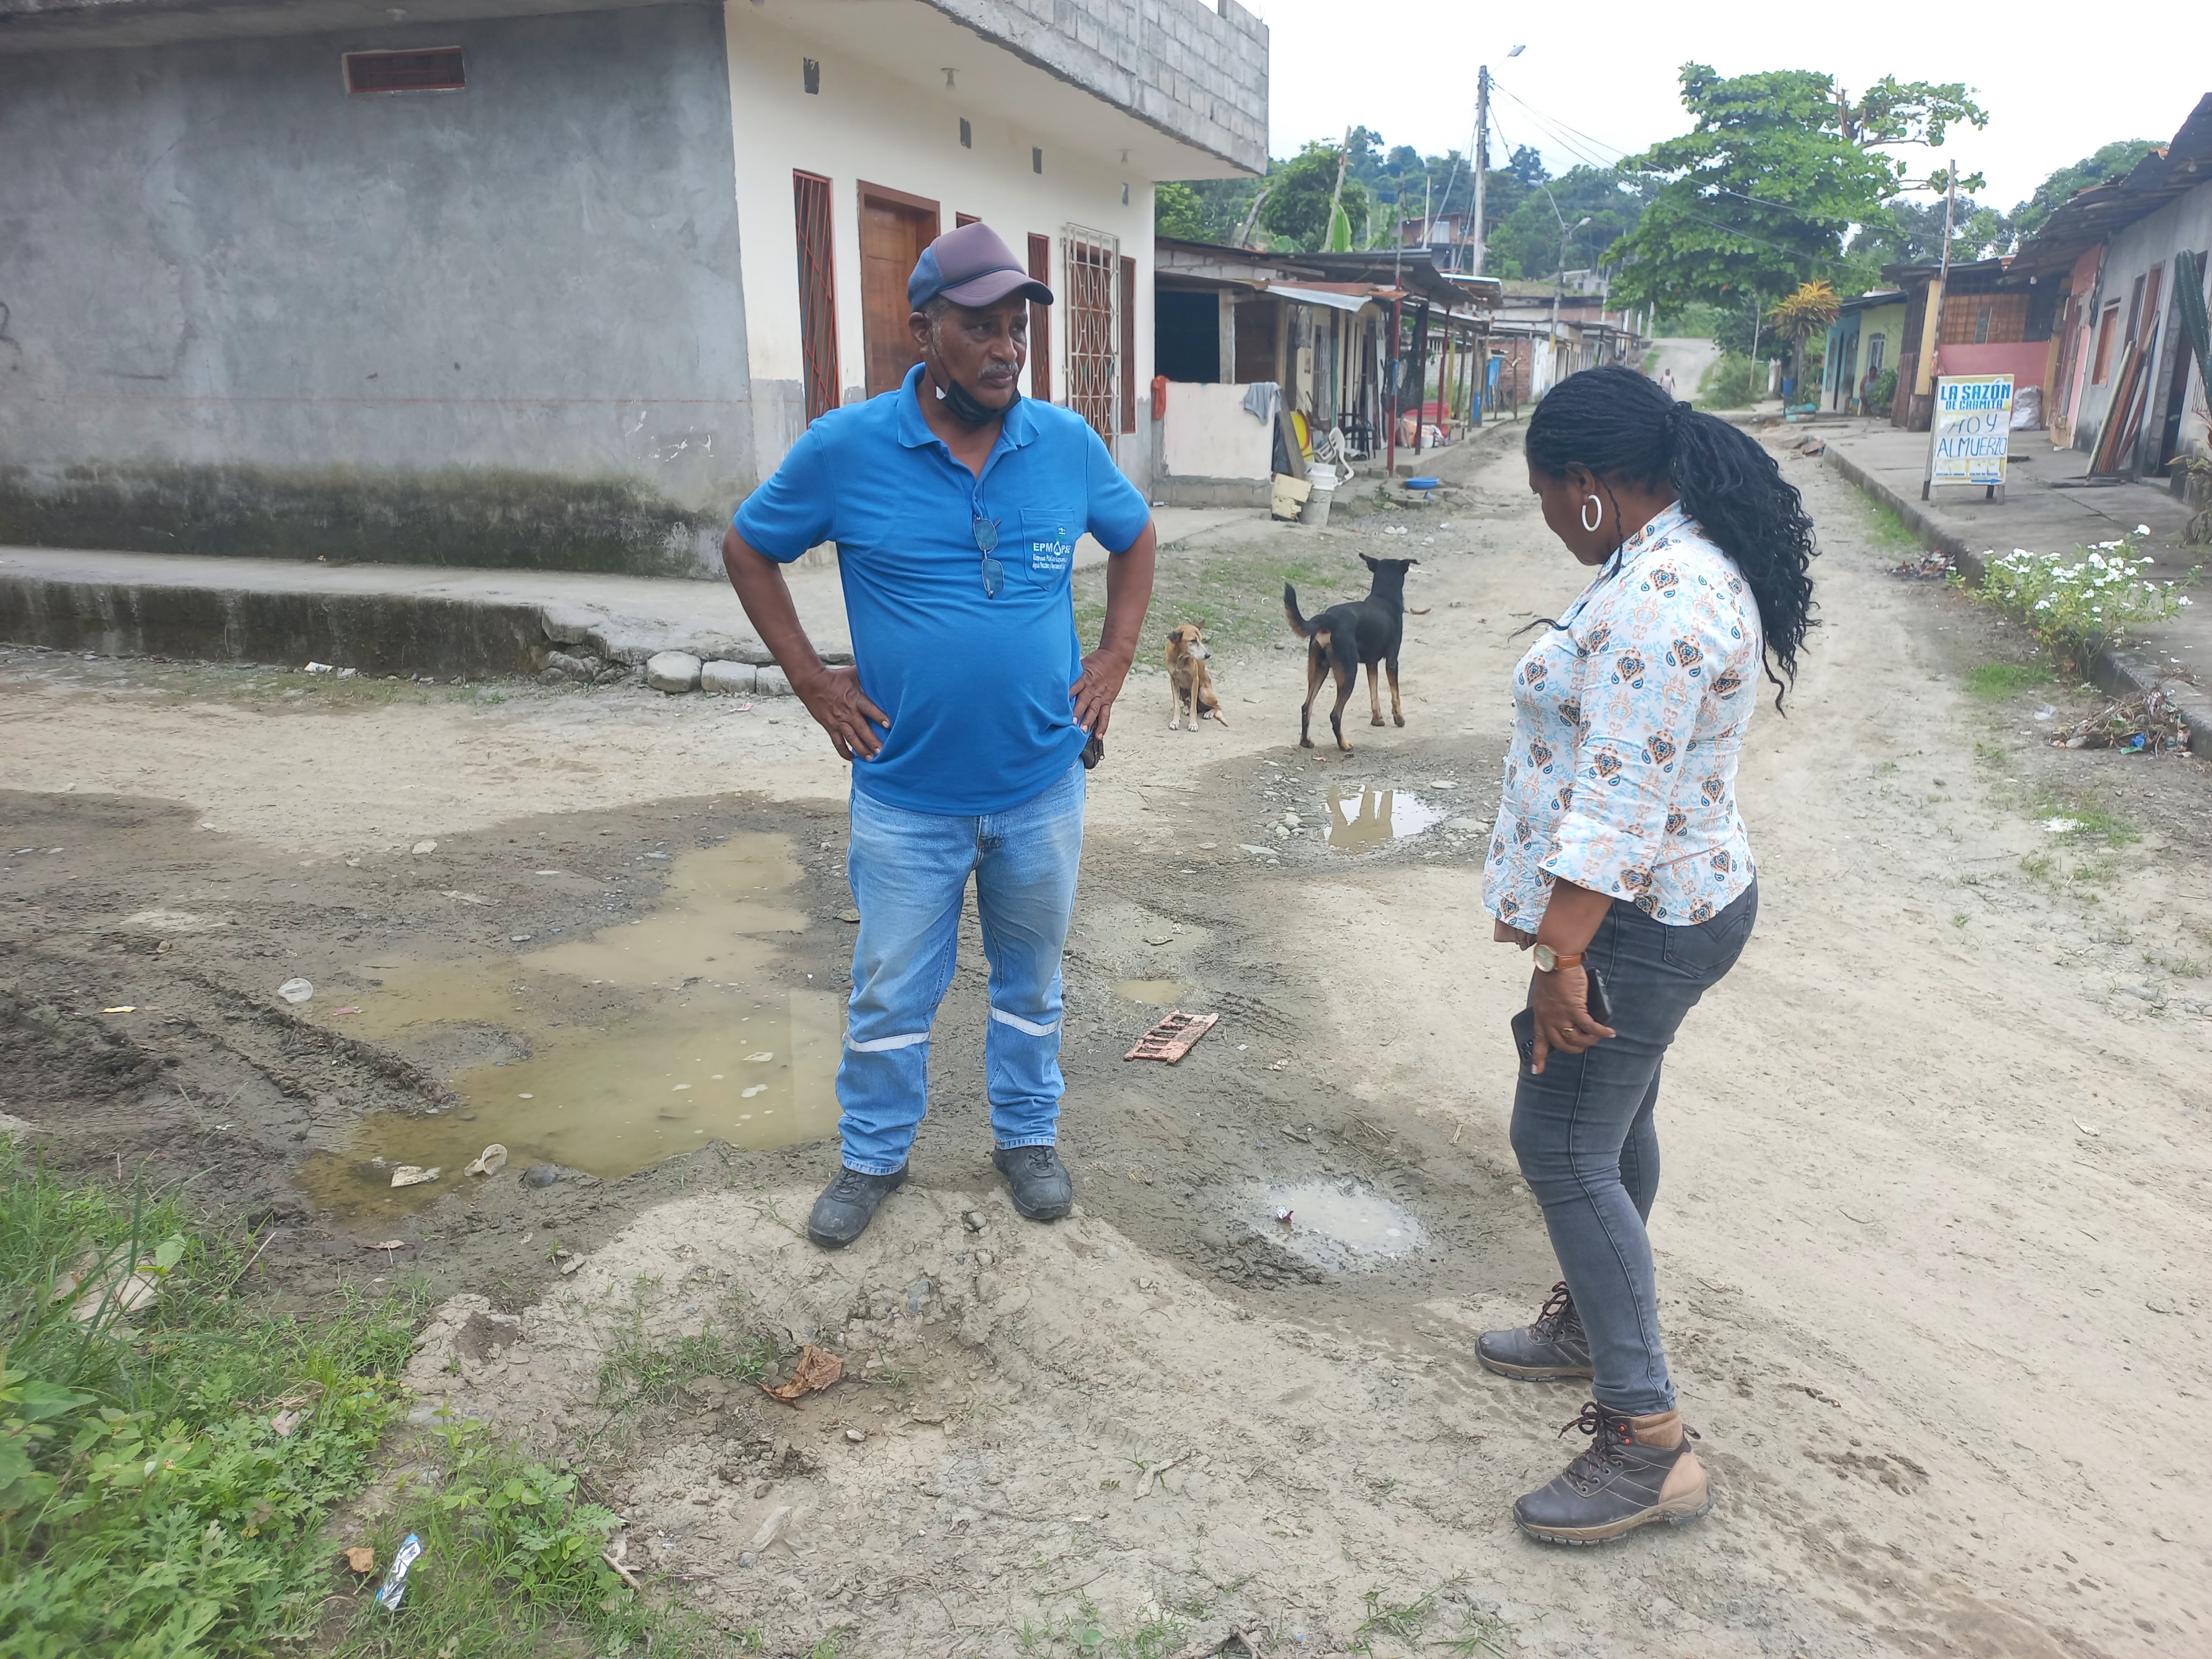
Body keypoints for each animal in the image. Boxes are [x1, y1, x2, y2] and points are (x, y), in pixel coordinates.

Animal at [1164, 622, 1229, 731]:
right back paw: (1186, 708)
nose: (1208, 655)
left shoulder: (1195, 680)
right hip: (1182, 692)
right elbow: (1177, 706)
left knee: (1218, 706)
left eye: (1202, 640)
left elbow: (1193, 708)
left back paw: (1209, 713)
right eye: (1193, 641)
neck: (1181, 658)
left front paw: (1193, 724)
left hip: (1203, 692)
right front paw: (1175, 722)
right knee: (1187, 703)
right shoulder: (1174, 681)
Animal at [1283, 555, 1425, 753]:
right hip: (1348, 674)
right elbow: (1395, 694)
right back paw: (1344, 744)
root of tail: (1329, 619)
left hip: (1319, 670)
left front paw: (1378, 719)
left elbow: (1374, 693)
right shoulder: (1392, 661)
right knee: (1335, 714)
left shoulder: (1371, 664)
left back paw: (1306, 741)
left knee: (1306, 706)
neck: (1384, 597)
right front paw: (1399, 718)